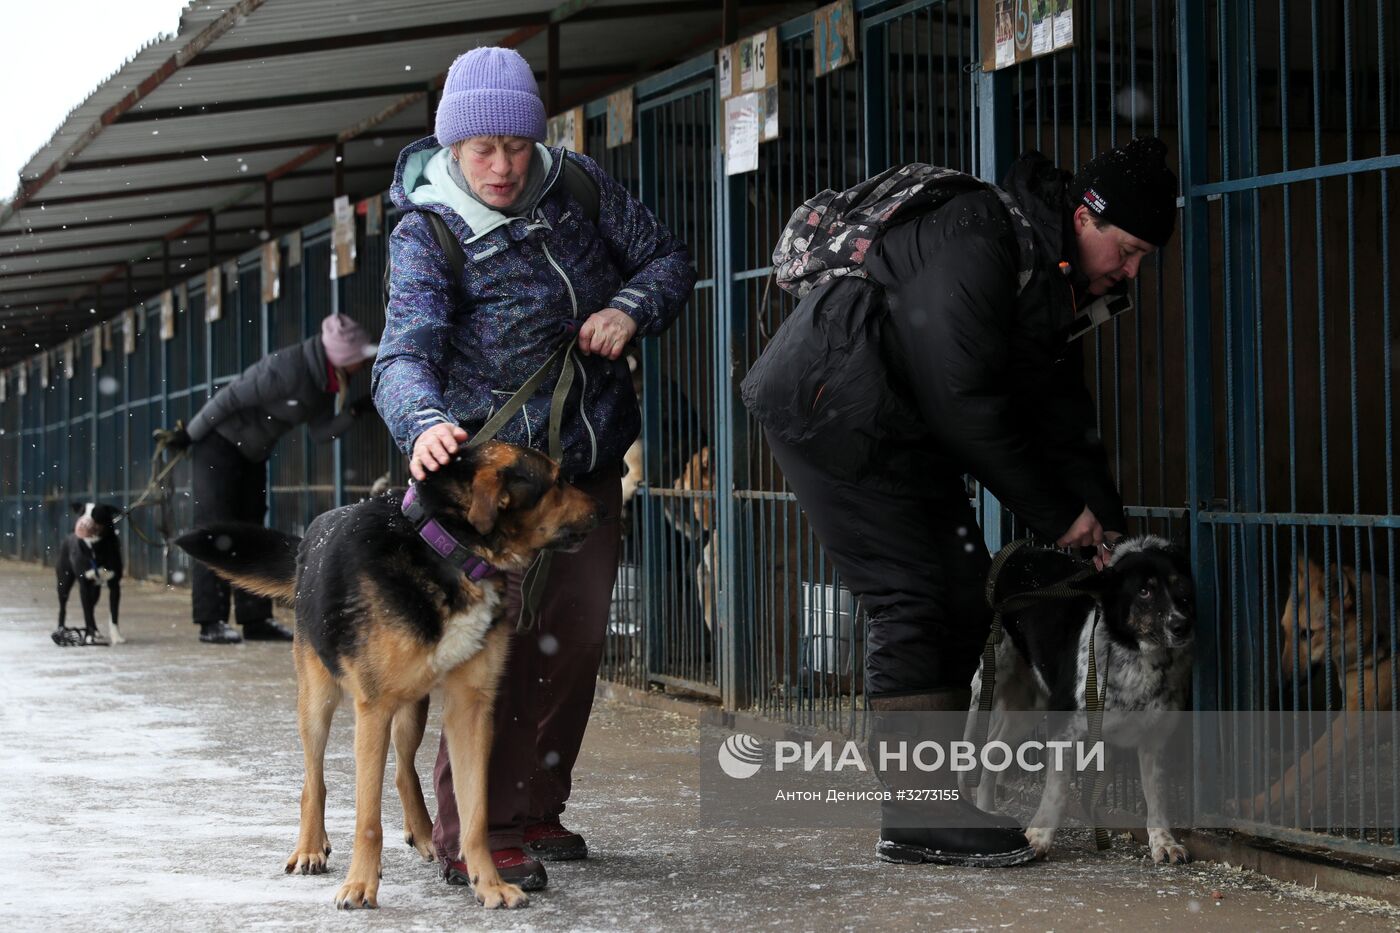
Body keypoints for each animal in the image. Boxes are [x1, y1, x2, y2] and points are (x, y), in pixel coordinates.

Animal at [53, 501, 126, 647]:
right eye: (81, 513)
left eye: (96, 514)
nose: (82, 523)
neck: (96, 549)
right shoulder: (84, 586)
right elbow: (86, 613)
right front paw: (88, 637)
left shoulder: (115, 585)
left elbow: (113, 613)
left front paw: (116, 637)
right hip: (64, 582)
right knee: (63, 608)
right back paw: (62, 631)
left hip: (95, 590)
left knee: (92, 606)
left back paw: (96, 632)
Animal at [175, 439, 596, 902]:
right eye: (557, 480)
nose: (601, 508)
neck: (448, 549)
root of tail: (310, 539)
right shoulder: (372, 709)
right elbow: (368, 820)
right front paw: (360, 884)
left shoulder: (469, 709)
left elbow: (475, 815)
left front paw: (489, 884)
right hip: (318, 701)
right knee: (313, 780)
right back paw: (310, 847)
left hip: (413, 708)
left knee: (402, 770)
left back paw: (425, 833)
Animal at [968, 535, 1198, 862]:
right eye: (1144, 591)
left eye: (1183, 588)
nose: (1182, 626)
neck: (1134, 656)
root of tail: (1013, 550)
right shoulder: (1065, 725)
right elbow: (1058, 790)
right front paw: (1039, 838)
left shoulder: (1155, 737)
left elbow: (1156, 794)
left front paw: (1164, 842)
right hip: (991, 681)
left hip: (1029, 706)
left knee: (993, 751)